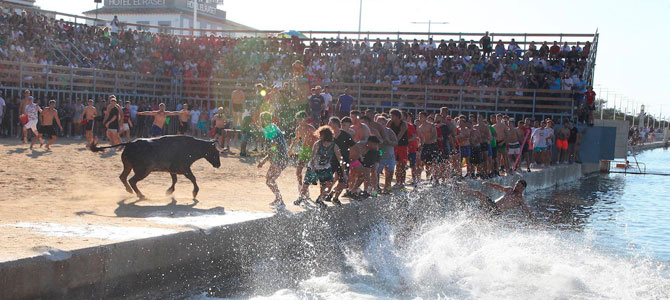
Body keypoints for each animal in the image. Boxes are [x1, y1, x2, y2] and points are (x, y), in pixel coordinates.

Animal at [90, 136, 223, 199]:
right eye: (215, 153)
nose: (218, 165)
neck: (191, 147)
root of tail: (130, 143)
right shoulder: (184, 168)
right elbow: (193, 178)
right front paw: (195, 192)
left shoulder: (173, 170)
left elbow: (175, 180)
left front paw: (169, 191)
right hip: (143, 171)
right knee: (132, 180)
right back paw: (141, 195)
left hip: (128, 167)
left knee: (123, 177)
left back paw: (130, 191)